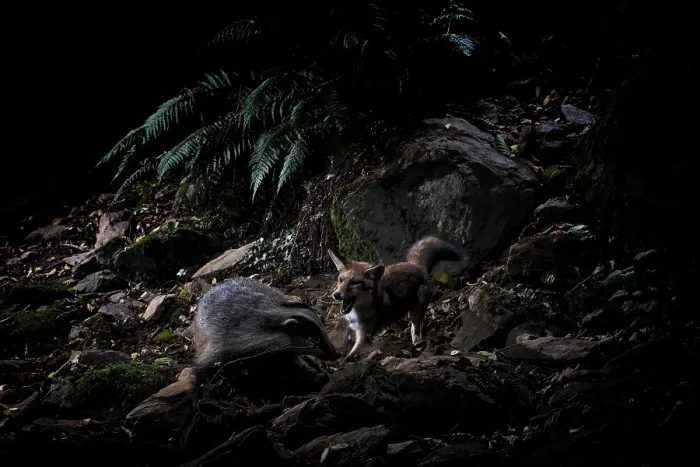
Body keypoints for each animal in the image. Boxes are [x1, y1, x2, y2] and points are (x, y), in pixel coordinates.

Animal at [191, 276, 340, 390]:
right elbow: (204, 370)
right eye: (315, 341)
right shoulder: (222, 345)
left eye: (323, 329)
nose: (336, 353)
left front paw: (317, 374)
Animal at [328, 234, 466, 361]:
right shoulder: (351, 327)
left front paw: (341, 363)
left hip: (416, 309)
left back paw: (417, 342)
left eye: (355, 283)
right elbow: (344, 345)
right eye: (340, 280)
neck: (356, 314)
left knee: (416, 327)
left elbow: (350, 356)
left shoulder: (365, 335)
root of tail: (416, 266)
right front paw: (339, 353)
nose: (336, 295)